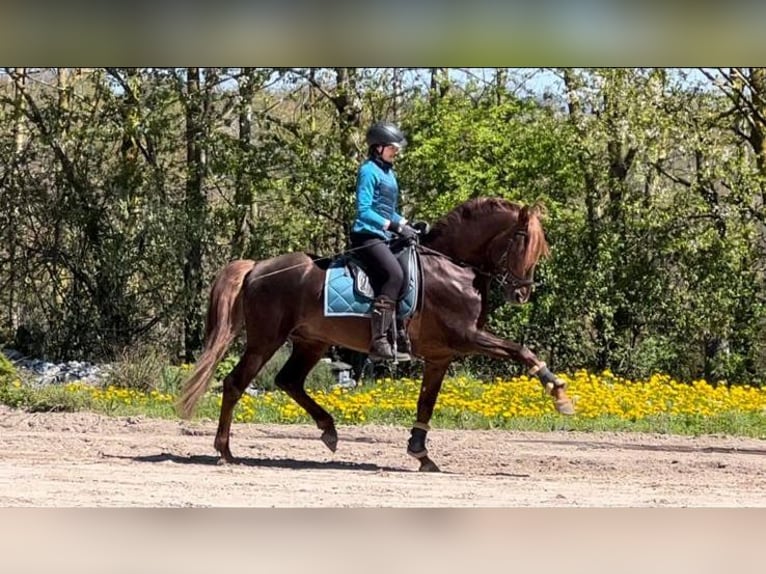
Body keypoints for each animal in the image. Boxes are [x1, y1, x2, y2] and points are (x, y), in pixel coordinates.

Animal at [178, 197, 575, 472]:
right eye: (523, 239)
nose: (522, 293)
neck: (453, 267)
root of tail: (257, 266)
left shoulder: (440, 355)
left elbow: (426, 402)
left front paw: (421, 453)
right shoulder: (468, 336)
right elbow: (521, 350)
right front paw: (559, 394)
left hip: (311, 341)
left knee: (288, 380)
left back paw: (329, 430)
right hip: (266, 340)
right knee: (235, 383)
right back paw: (225, 451)